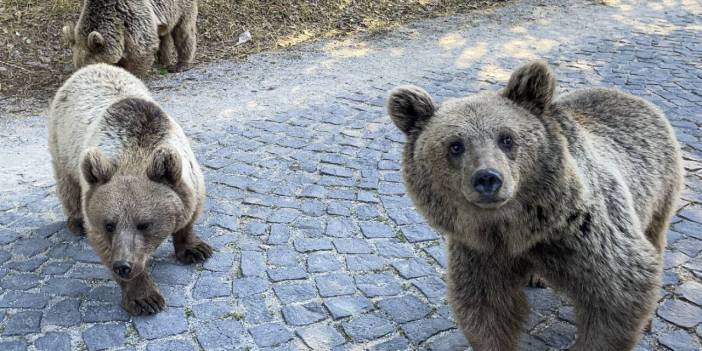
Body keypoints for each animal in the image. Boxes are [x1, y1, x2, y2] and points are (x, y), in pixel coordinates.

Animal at [48, 63, 212, 316]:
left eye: (144, 224)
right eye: (109, 224)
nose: (123, 266)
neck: (135, 153)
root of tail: (90, 67)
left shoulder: (190, 180)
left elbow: (190, 216)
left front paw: (195, 249)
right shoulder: (95, 206)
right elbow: (103, 243)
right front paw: (145, 298)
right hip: (63, 141)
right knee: (67, 183)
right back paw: (75, 222)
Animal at [63, 0, 198, 75]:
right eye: (78, 67)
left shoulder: (134, 18)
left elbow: (142, 51)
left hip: (180, 6)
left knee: (183, 31)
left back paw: (180, 65)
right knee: (164, 35)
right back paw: (162, 62)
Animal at [388, 62, 684, 350]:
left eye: (506, 138)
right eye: (455, 145)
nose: (488, 178)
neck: (520, 228)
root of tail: (629, 96)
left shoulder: (584, 235)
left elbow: (619, 290)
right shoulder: (481, 252)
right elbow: (486, 308)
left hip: (659, 189)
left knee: (654, 235)